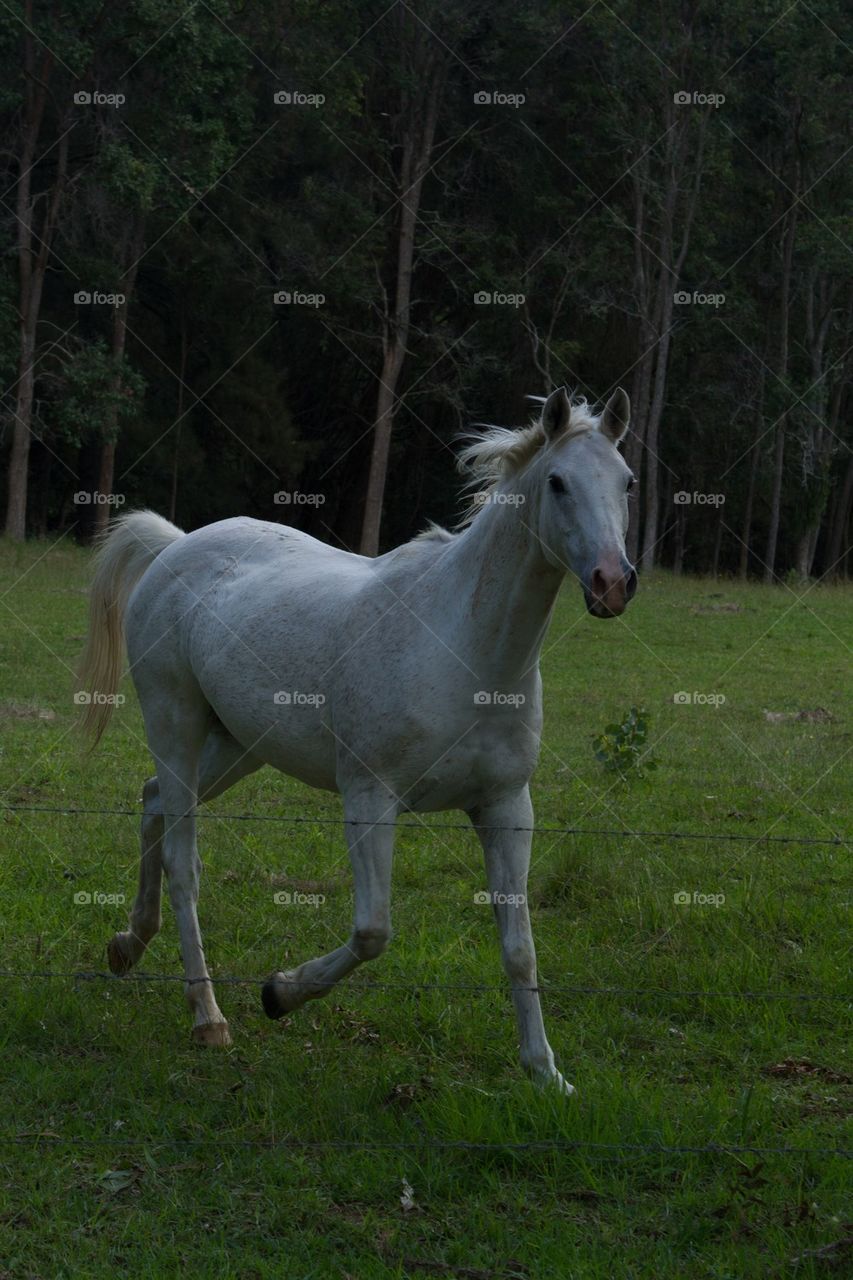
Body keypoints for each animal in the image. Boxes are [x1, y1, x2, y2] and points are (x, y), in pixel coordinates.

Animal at [78, 384, 630, 1095]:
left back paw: (127, 946)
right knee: (181, 859)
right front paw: (279, 993)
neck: (464, 648)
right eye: (558, 482)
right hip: (175, 724)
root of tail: (175, 546)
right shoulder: (370, 796)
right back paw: (208, 1016)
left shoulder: (507, 807)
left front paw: (545, 1074)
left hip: (237, 746)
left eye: (628, 481)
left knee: (150, 804)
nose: (613, 583)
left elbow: (520, 948)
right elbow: (372, 931)